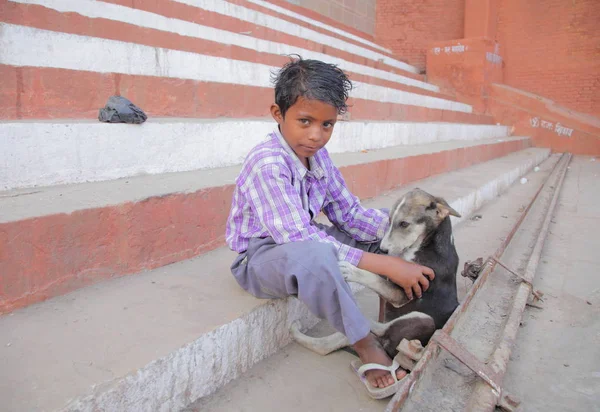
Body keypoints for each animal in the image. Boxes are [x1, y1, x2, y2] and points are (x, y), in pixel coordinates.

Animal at [290, 188, 460, 358]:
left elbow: (373, 278)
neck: (428, 245)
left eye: (404, 224)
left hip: (423, 319)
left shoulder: (403, 294)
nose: (383, 250)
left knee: (373, 330)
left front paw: (351, 269)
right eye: (389, 220)